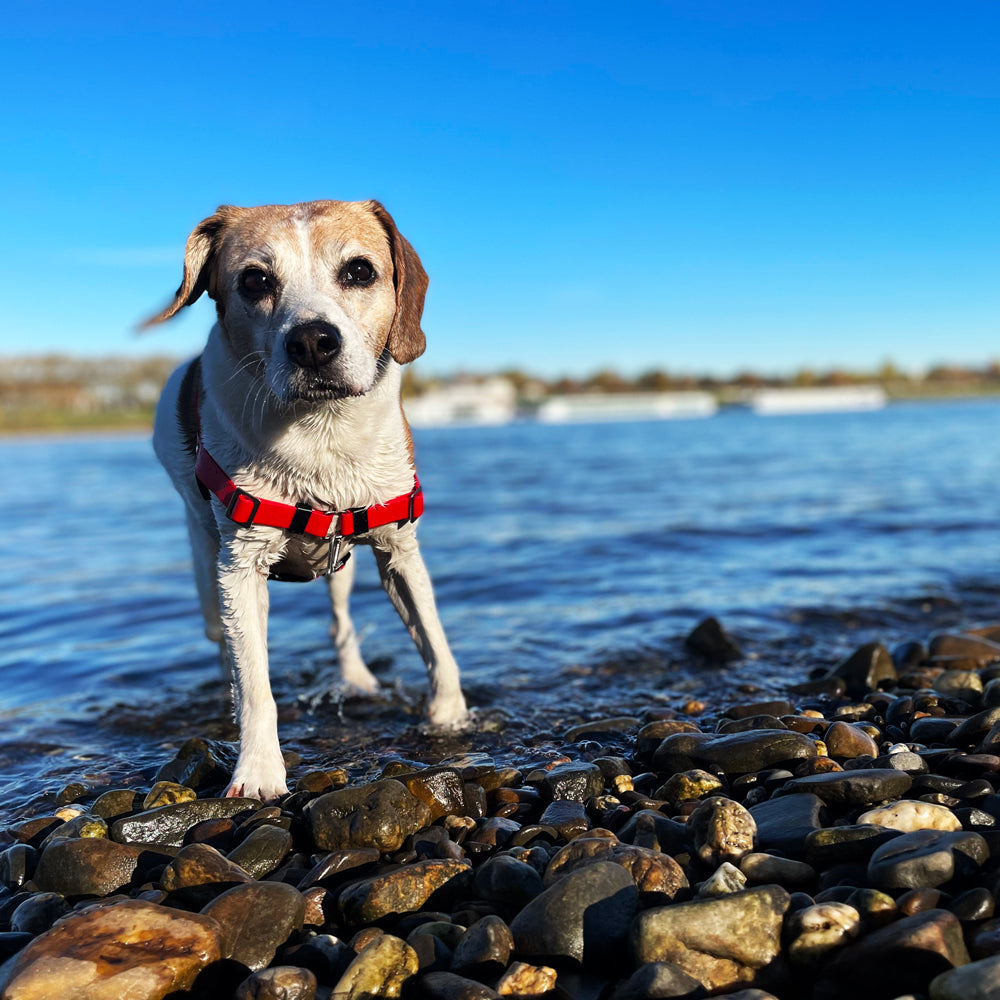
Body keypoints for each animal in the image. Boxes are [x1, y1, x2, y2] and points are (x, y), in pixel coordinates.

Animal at [145, 199, 468, 800]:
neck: (322, 433)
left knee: (340, 624)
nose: (314, 341)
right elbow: (254, 686)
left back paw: (357, 679)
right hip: (205, 568)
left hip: (341, 567)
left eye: (360, 271)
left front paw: (451, 718)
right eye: (254, 280)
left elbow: (436, 644)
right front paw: (258, 772)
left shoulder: (399, 551)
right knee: (222, 644)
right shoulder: (239, 568)